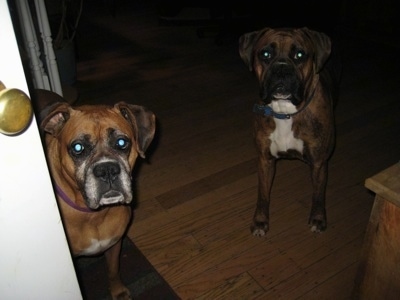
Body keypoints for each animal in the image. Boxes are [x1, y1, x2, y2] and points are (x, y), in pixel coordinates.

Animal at [39, 99, 155, 298]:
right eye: (78, 148)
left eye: (122, 142)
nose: (107, 170)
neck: (92, 215)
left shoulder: (114, 245)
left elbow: (113, 270)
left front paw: (118, 292)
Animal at [239, 26, 340, 237]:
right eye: (266, 54)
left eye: (299, 55)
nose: (282, 68)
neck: (285, 112)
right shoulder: (265, 160)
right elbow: (263, 193)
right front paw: (260, 221)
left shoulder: (319, 163)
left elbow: (318, 194)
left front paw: (318, 218)